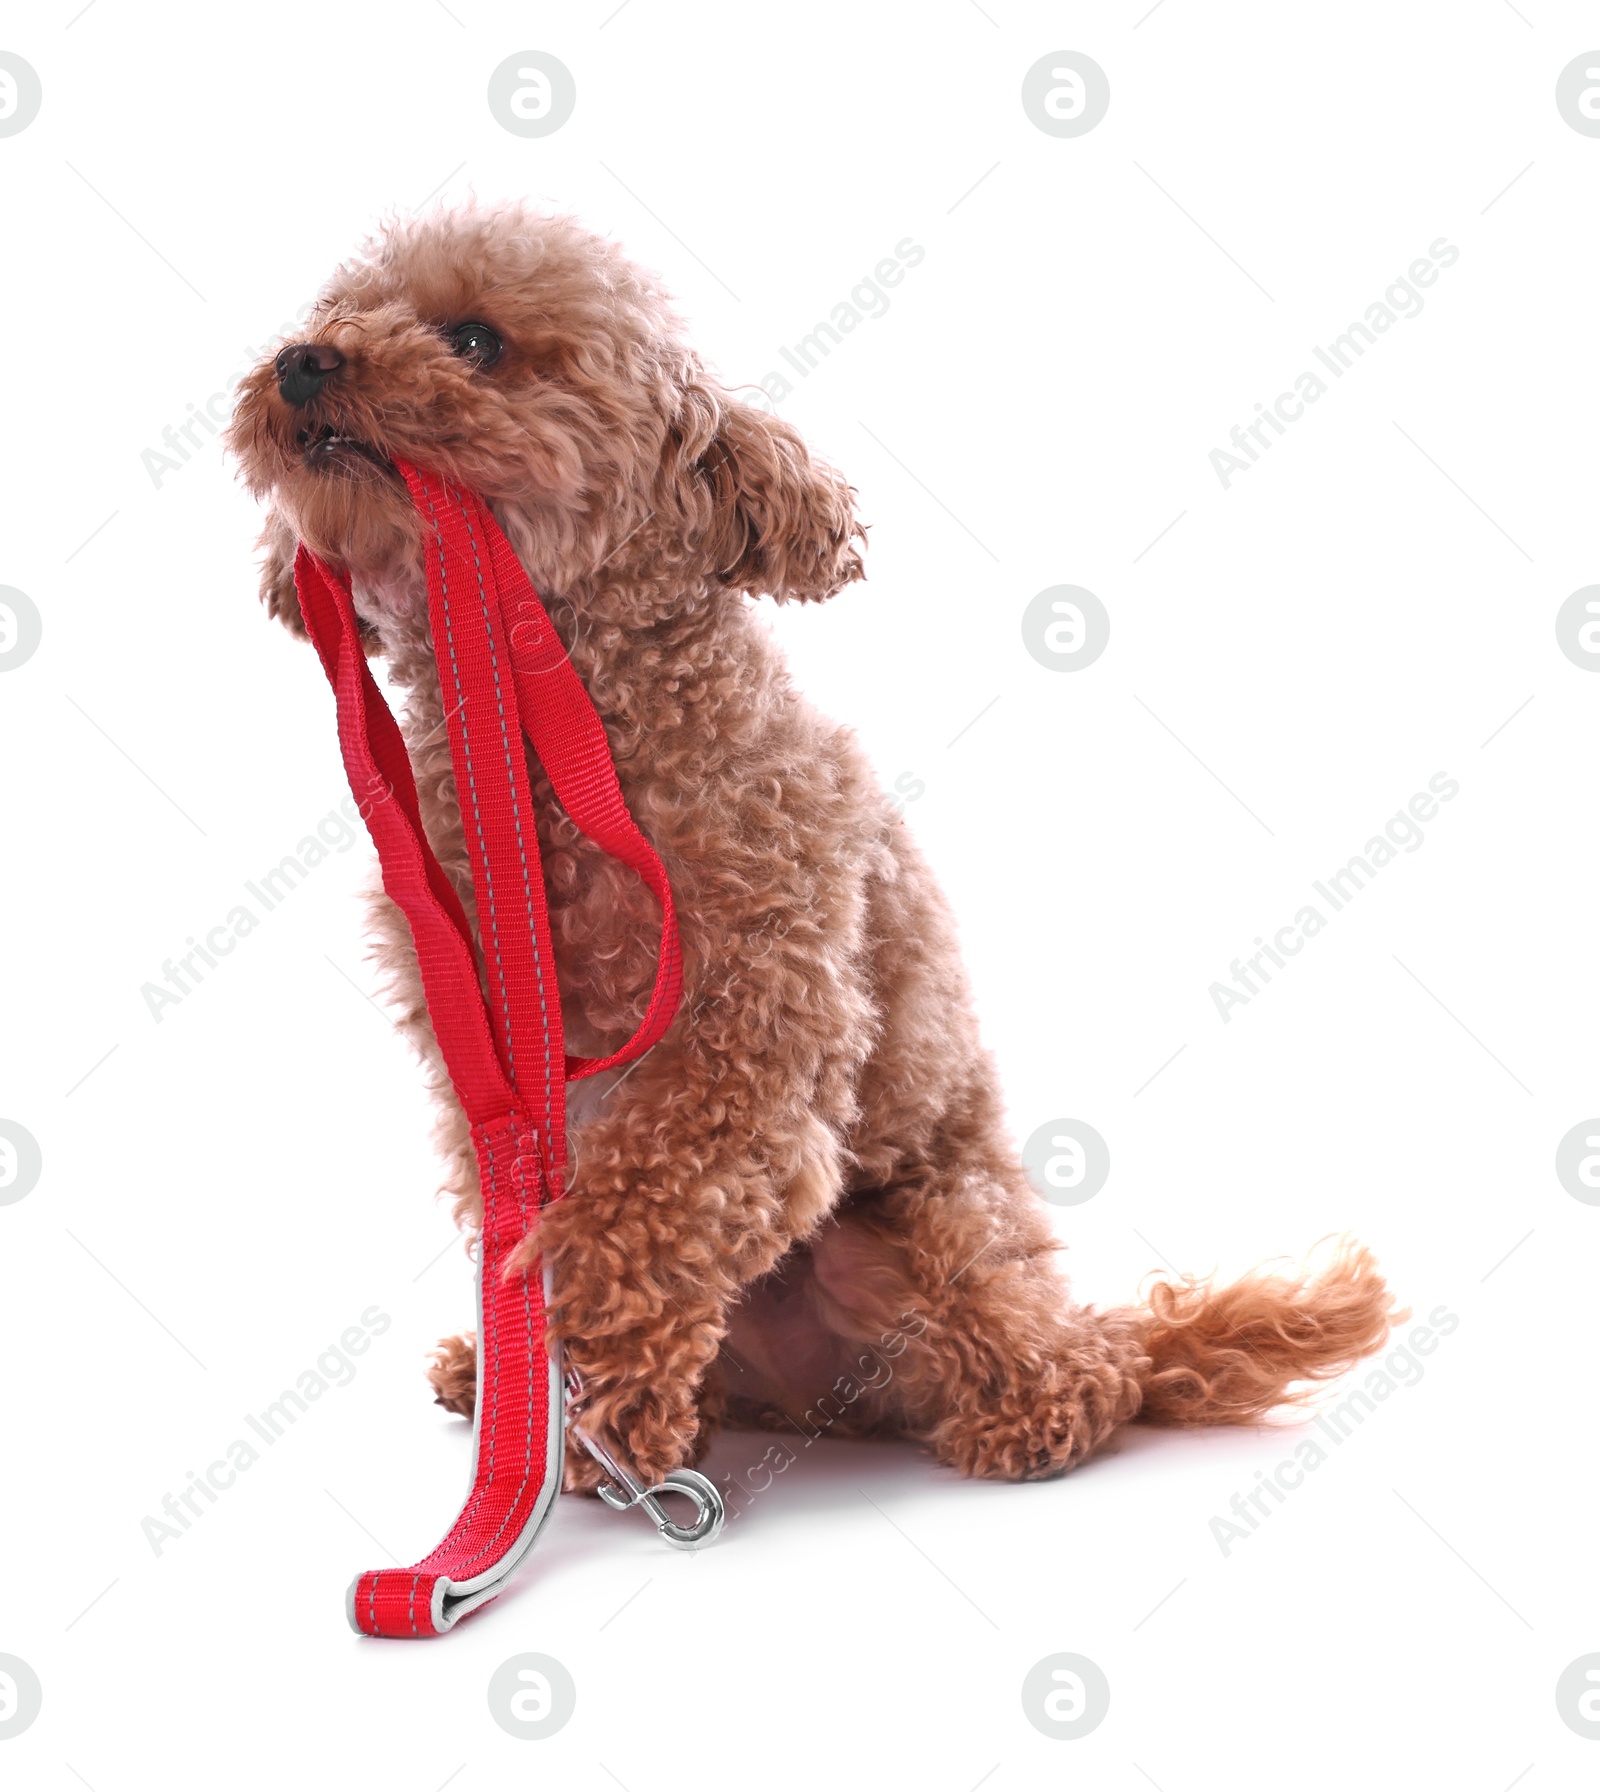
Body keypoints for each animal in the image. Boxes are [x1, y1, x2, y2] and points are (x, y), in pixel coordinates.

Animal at [224, 203, 1397, 1498]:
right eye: (342, 313)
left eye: (475, 339)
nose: (304, 361)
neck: (554, 748)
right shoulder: (485, 1059)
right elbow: (532, 1204)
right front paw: (548, 1386)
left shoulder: (763, 1036)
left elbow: (647, 1201)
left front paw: (588, 1362)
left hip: (925, 1232)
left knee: (1078, 1372)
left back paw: (1008, 1417)